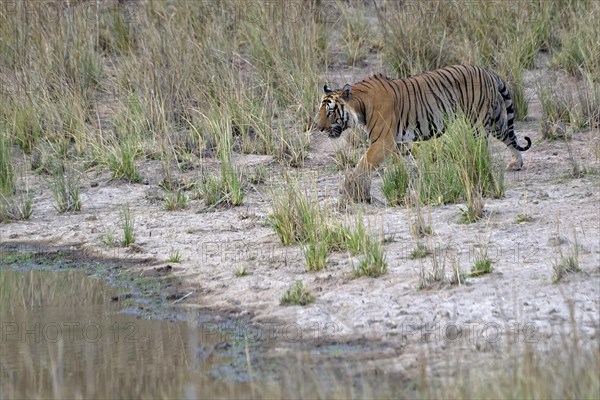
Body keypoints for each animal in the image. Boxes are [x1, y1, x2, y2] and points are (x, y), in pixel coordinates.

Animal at [316, 65, 532, 203]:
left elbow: (362, 164)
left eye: (330, 111)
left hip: (477, 123)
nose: (317, 127)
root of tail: (487, 71)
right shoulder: (395, 142)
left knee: (483, 148)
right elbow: (399, 166)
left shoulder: (382, 142)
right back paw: (517, 163)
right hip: (495, 120)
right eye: (321, 110)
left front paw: (347, 188)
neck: (359, 105)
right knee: (510, 137)